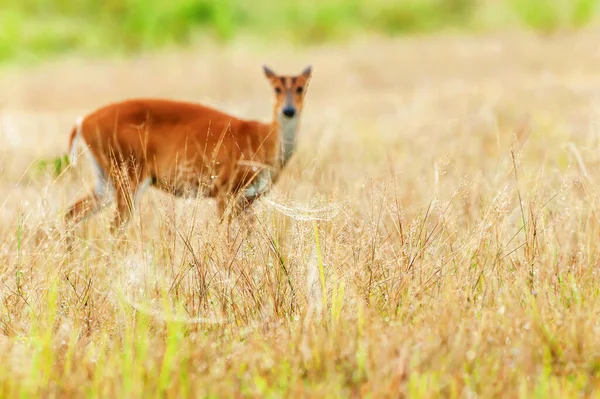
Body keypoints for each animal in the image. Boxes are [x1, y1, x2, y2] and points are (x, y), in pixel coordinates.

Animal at [65, 65, 312, 234]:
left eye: (301, 87)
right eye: (276, 88)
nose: (289, 110)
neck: (264, 141)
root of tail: (82, 123)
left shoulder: (248, 199)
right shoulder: (225, 187)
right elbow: (224, 233)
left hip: (106, 177)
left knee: (72, 213)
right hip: (128, 170)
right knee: (115, 226)